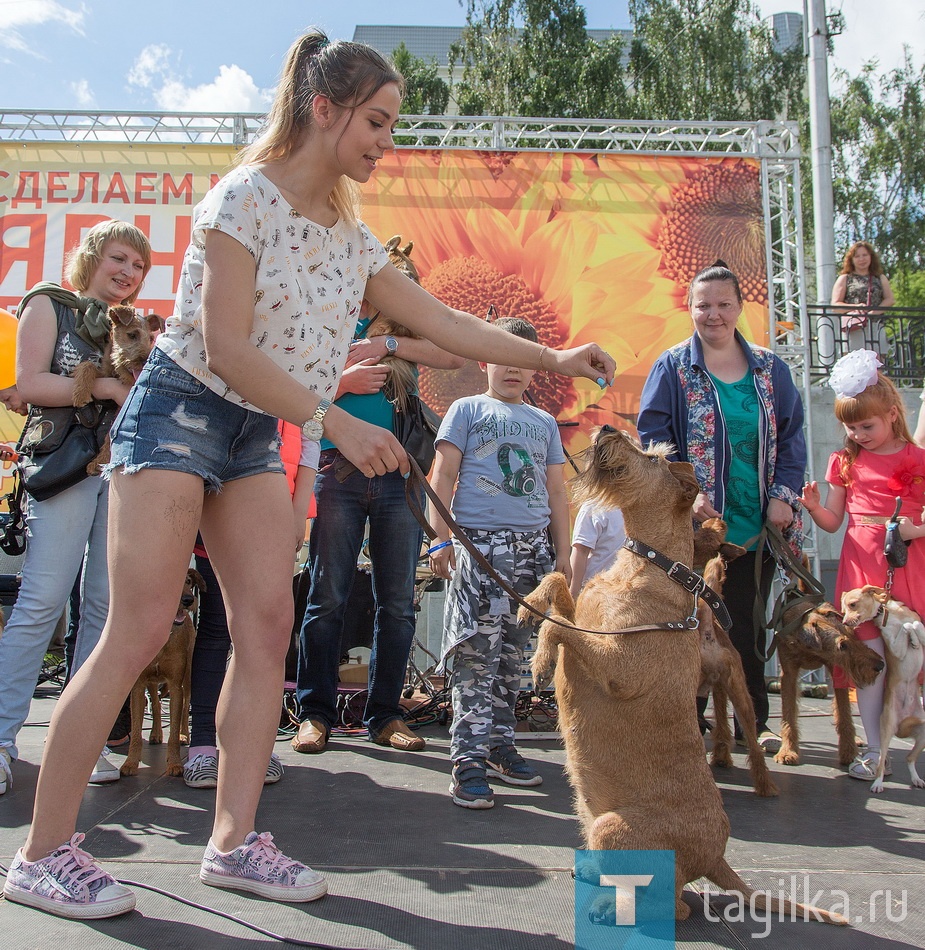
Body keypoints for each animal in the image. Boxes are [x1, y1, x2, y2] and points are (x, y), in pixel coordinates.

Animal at [72, 304, 152, 476]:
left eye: (151, 338)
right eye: (132, 334)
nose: (144, 361)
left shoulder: (123, 404)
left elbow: (113, 432)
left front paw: (99, 462)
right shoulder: (104, 374)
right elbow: (87, 365)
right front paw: (80, 394)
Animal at [119, 568, 204, 776]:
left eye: (188, 581)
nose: (189, 599)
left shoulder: (176, 685)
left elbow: (173, 730)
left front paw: (174, 763)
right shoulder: (138, 686)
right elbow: (136, 729)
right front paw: (130, 762)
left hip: (188, 677)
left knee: (185, 707)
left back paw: (184, 734)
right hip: (151, 681)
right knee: (156, 704)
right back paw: (156, 733)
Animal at [520, 430, 844, 928]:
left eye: (654, 458)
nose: (608, 431)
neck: (649, 566)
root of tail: (715, 859)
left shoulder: (619, 668)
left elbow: (560, 628)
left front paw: (539, 660)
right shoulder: (588, 617)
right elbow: (558, 583)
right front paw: (530, 607)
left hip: (611, 827)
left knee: (675, 906)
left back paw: (610, 907)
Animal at [840, 588, 924, 796]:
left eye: (853, 604)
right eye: (843, 609)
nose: (844, 622)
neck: (890, 614)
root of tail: (903, 723)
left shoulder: (921, 629)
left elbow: (913, 623)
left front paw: (915, 640)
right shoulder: (895, 648)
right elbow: (907, 627)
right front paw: (913, 640)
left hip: (923, 736)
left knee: (910, 758)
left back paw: (916, 779)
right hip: (886, 734)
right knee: (881, 764)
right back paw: (877, 784)